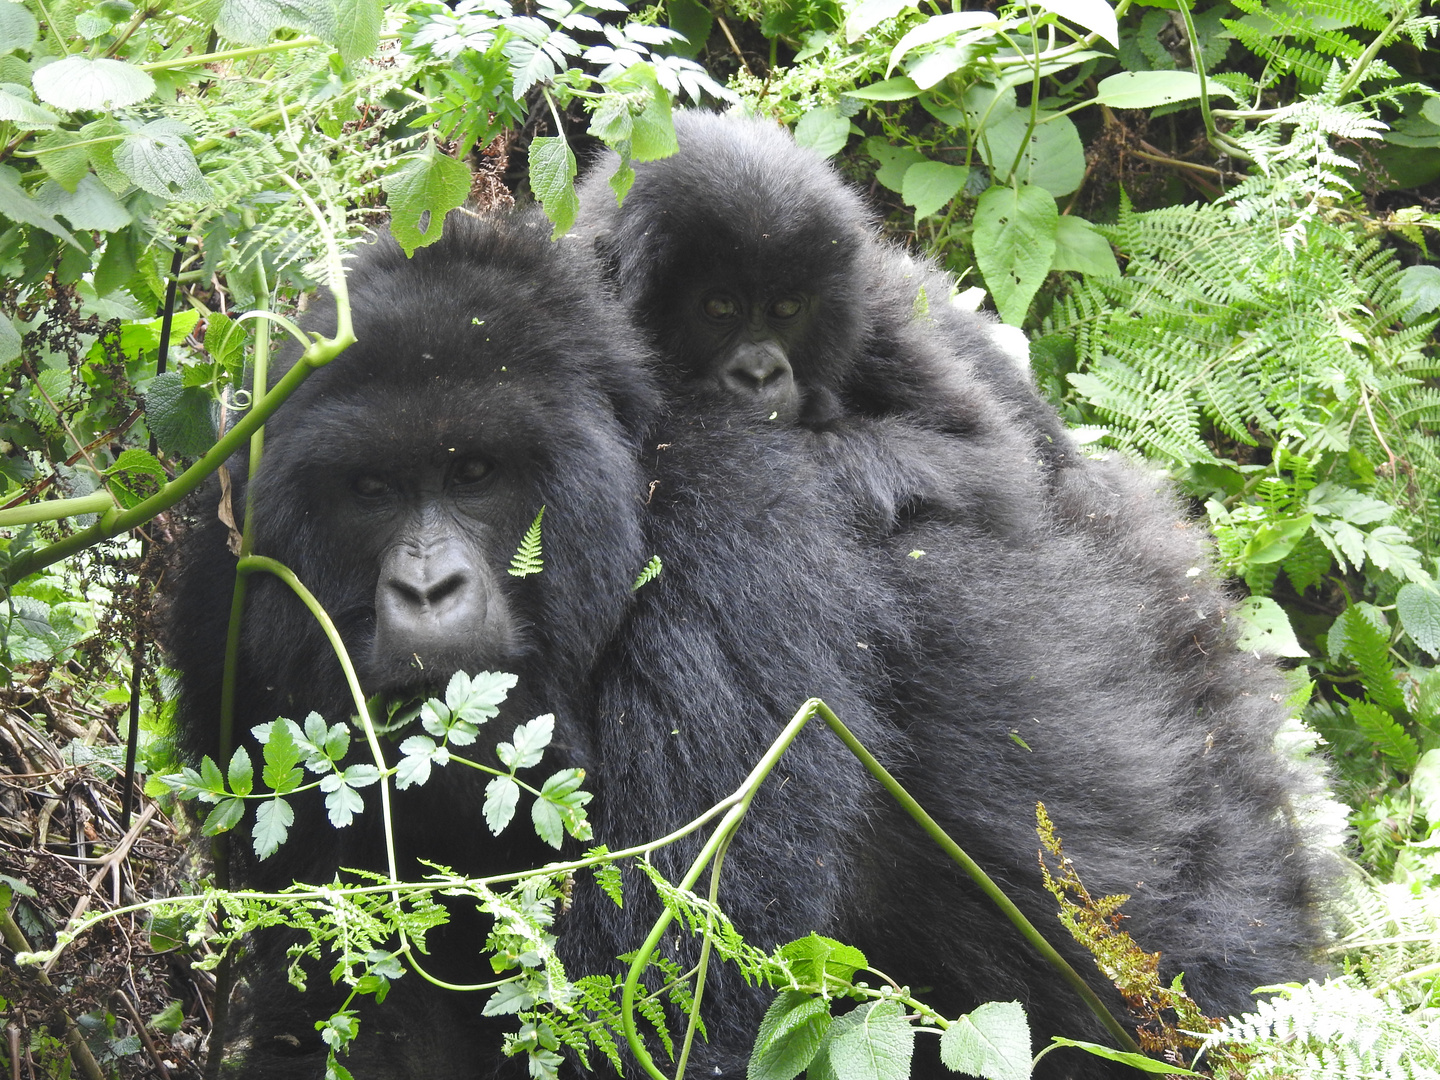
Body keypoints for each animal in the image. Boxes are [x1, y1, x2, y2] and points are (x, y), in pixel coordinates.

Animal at [165, 211, 910, 1080]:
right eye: (372, 489)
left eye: (475, 473)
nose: (427, 591)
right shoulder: (227, 591)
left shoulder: (734, 568)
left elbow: (653, 1009)